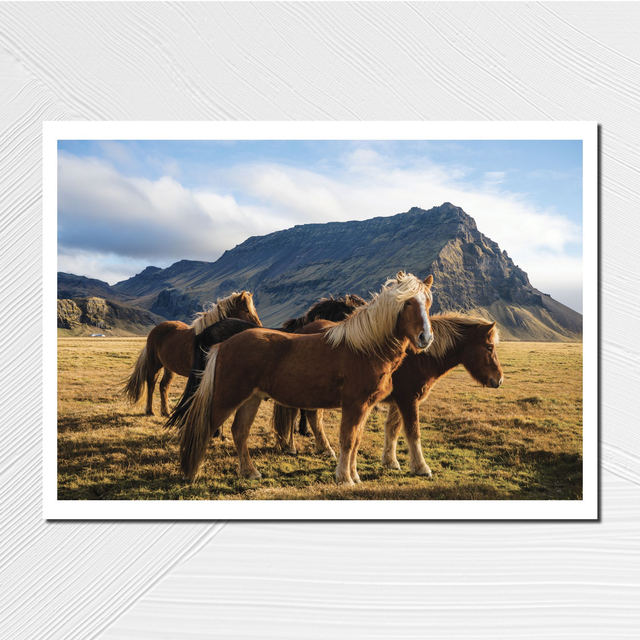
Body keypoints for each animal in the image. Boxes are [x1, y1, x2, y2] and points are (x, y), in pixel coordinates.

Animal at [121, 291, 261, 417]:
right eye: (246, 310)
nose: (259, 329)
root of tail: (155, 330)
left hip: (169, 368)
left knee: (163, 386)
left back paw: (165, 412)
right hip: (155, 365)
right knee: (151, 385)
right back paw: (149, 411)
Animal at [273, 314, 503, 476]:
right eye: (489, 347)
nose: (499, 380)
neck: (419, 356)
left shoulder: (398, 401)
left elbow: (392, 430)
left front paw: (390, 462)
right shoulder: (409, 400)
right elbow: (413, 432)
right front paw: (421, 467)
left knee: (311, 416)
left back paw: (323, 449)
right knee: (296, 413)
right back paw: (293, 447)